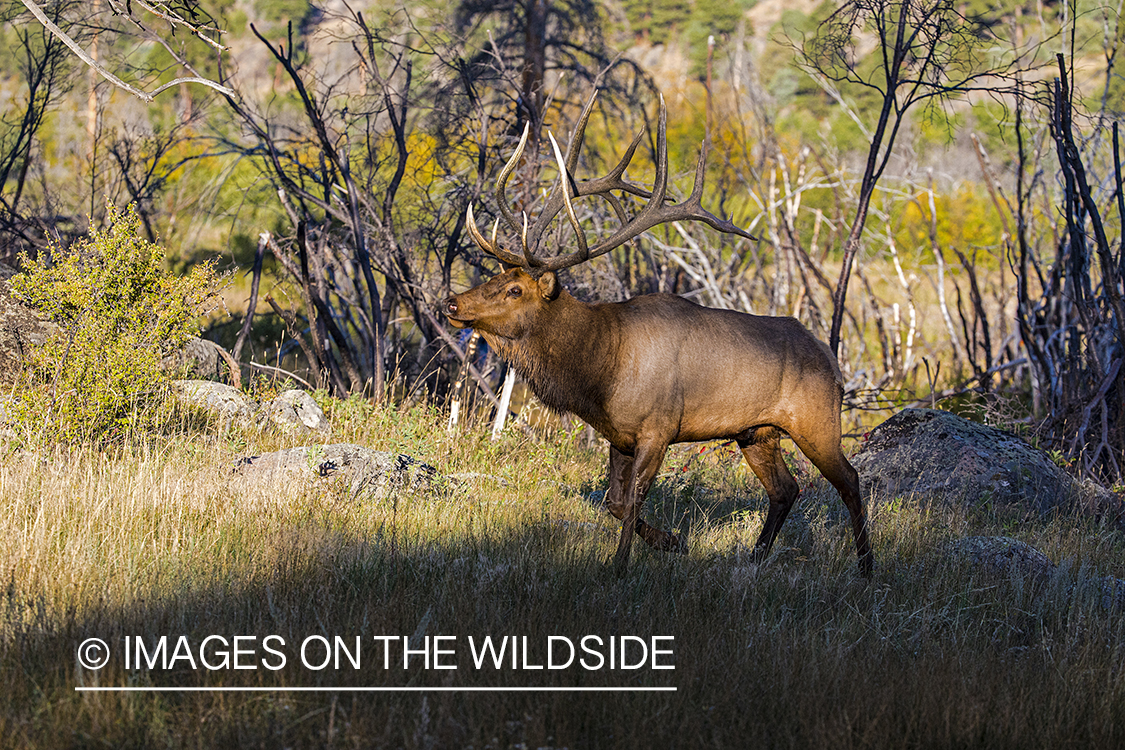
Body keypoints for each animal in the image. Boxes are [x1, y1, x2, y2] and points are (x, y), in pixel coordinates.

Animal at [443, 92, 873, 575]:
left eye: (515, 289)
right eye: (495, 277)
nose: (453, 303)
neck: (599, 370)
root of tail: (832, 358)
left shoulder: (659, 427)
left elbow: (632, 500)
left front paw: (621, 565)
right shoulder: (620, 435)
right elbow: (613, 502)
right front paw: (672, 542)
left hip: (817, 421)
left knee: (850, 480)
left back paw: (866, 566)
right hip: (756, 431)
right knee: (785, 489)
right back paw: (755, 557)